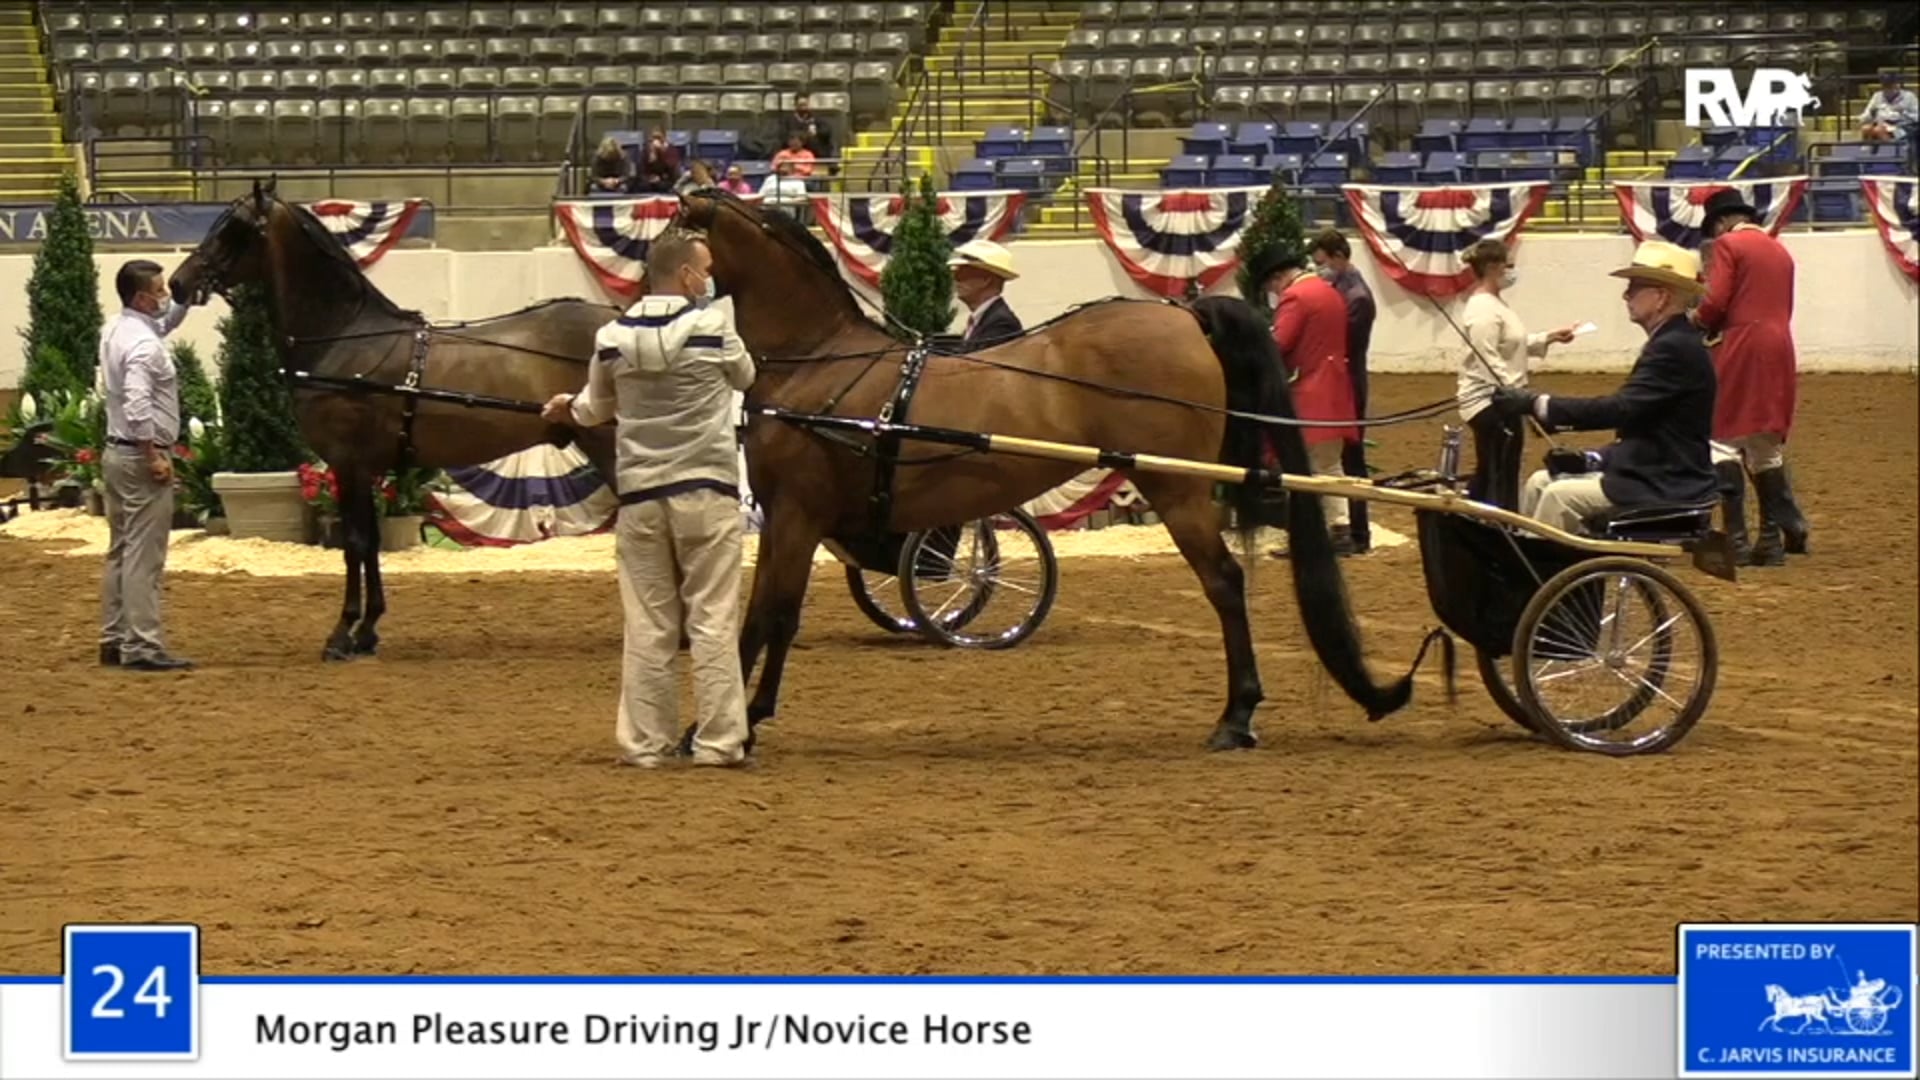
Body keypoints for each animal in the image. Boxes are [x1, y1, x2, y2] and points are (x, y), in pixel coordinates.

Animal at [168, 179, 621, 661]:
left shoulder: (346, 463)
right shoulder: (364, 467)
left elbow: (355, 544)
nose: (178, 282)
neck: (345, 337)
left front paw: (342, 634)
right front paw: (367, 631)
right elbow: (369, 543)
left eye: (233, 228)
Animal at [670, 189, 1441, 751]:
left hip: (1175, 486)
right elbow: (778, 613)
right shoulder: (795, 519)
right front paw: (748, 716)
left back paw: (1236, 716)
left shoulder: (796, 511)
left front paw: (716, 730)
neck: (822, 360)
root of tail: (1185, 311)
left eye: (671, 228)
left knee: (1225, 582)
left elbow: (766, 611)